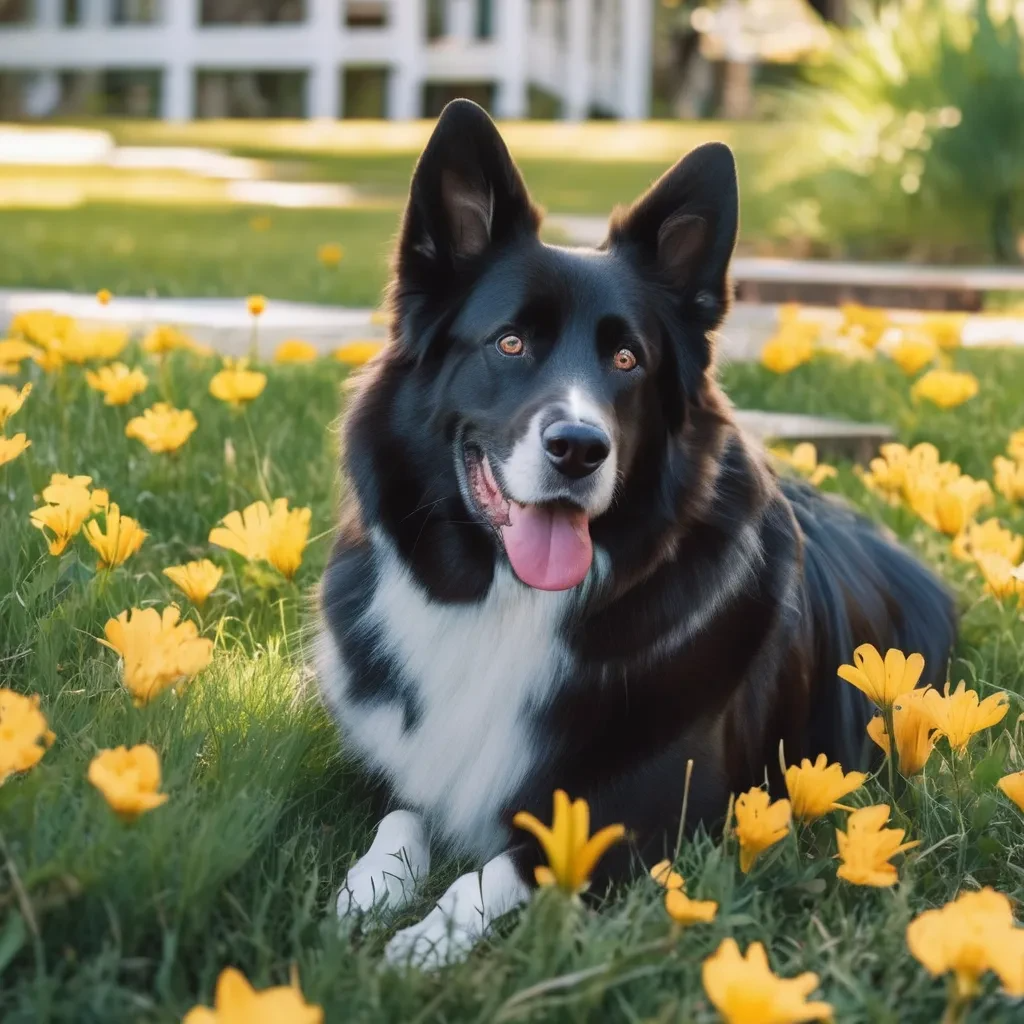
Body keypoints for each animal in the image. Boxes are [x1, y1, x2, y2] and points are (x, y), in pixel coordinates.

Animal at [315, 101, 954, 966]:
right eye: (509, 342)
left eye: (627, 359)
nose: (579, 449)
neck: (513, 602)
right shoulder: (408, 763)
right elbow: (401, 819)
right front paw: (365, 894)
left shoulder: (657, 815)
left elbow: (505, 865)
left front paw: (424, 942)